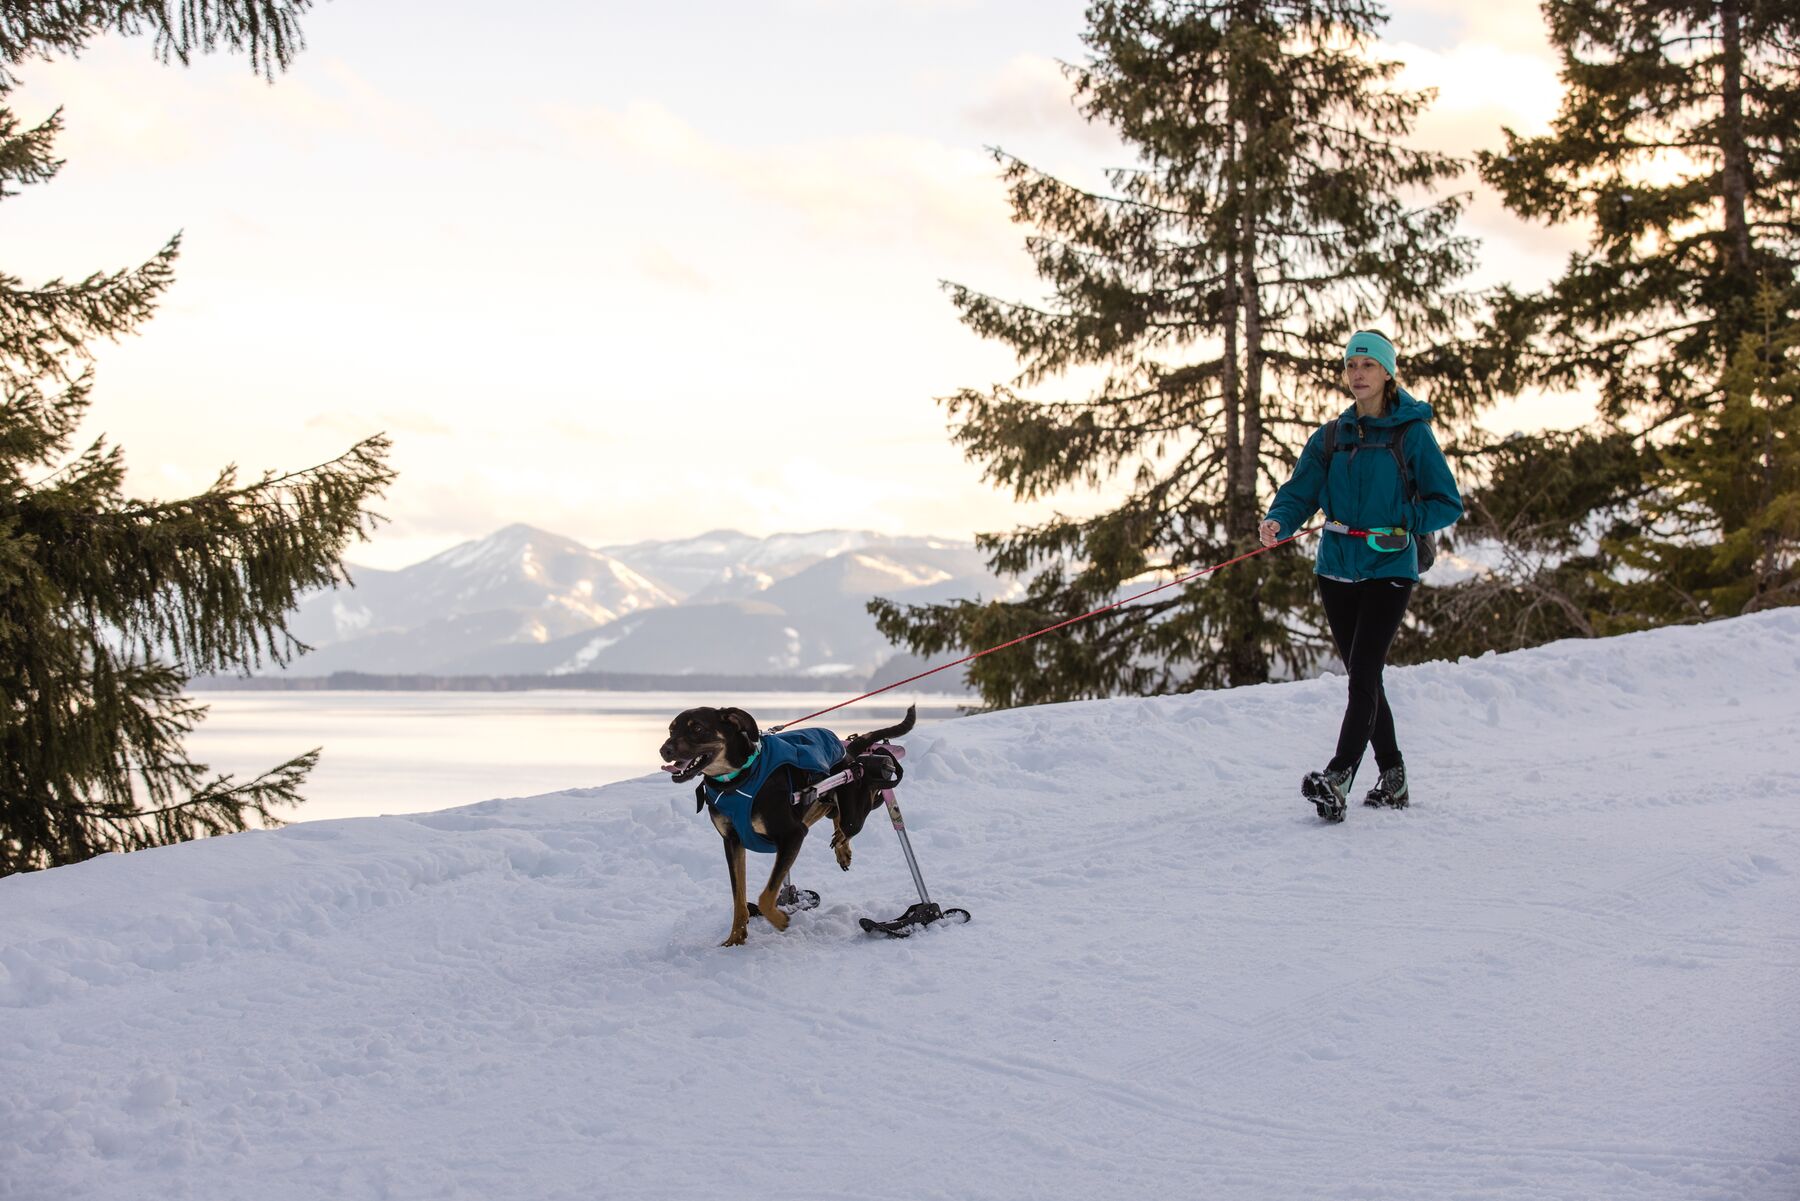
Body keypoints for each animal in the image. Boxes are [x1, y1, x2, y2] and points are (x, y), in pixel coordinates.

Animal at [658, 705, 914, 950]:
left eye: (697, 728)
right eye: (671, 729)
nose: (663, 750)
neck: (739, 779)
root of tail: (848, 750)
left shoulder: (792, 835)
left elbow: (765, 895)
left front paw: (779, 920)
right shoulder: (732, 842)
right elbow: (738, 898)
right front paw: (735, 939)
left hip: (854, 806)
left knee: (856, 811)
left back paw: (846, 833)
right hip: (819, 800)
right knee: (828, 810)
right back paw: (841, 846)